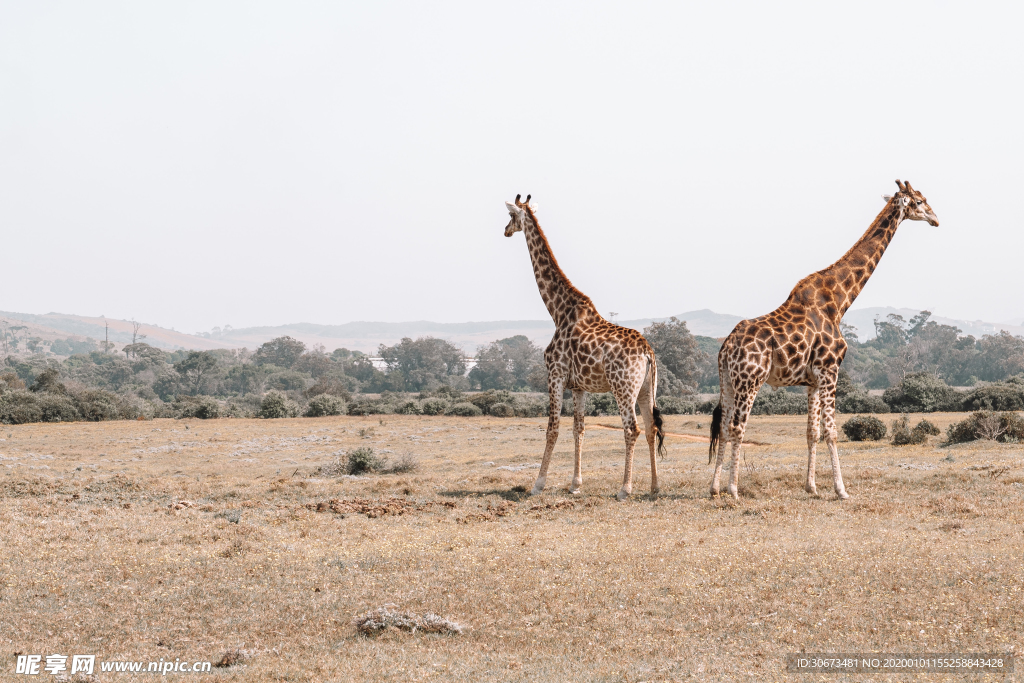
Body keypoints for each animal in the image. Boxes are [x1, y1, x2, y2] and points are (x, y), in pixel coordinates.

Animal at [501, 194, 663, 499]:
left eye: (511, 216)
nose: (505, 230)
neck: (558, 310)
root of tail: (648, 353)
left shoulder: (555, 374)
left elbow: (552, 428)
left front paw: (538, 484)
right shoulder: (579, 386)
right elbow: (579, 428)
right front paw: (575, 484)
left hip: (623, 387)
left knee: (632, 429)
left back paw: (625, 488)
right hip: (647, 388)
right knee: (650, 428)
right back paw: (655, 486)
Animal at [708, 180, 937, 501]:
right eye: (919, 201)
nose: (935, 219)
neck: (840, 301)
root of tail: (726, 347)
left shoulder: (813, 380)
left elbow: (812, 433)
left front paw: (812, 486)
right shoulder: (830, 370)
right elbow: (832, 431)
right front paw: (841, 489)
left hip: (727, 381)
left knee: (722, 426)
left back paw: (715, 487)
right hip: (750, 380)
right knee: (737, 427)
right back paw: (733, 489)